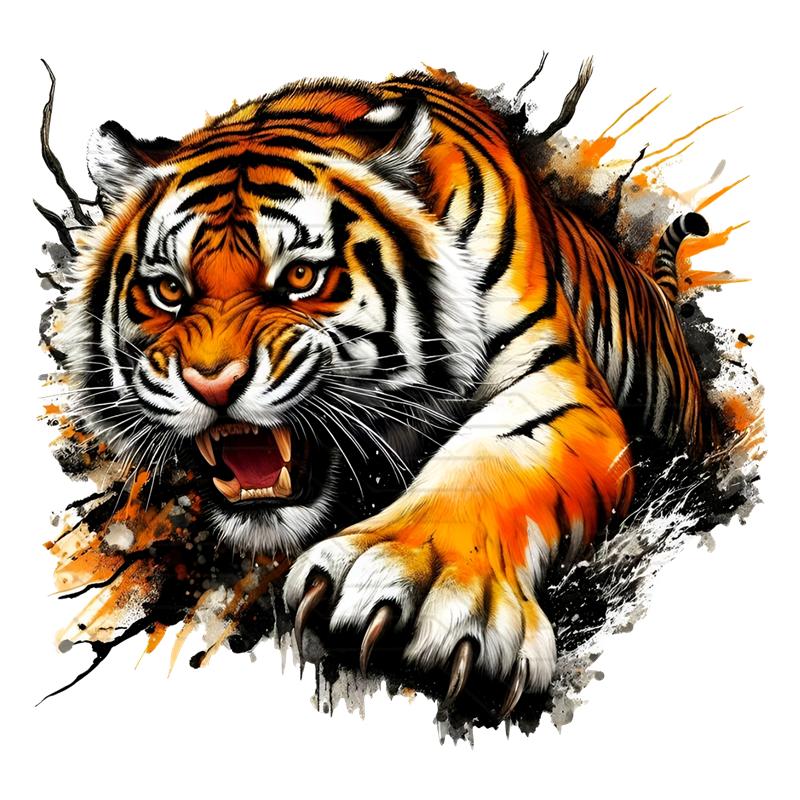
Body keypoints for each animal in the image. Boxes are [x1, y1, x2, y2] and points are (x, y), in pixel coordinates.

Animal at [58, 66, 714, 718]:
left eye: (301, 277)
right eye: (168, 289)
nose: (210, 382)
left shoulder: (554, 378)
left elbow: (490, 458)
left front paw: (423, 580)